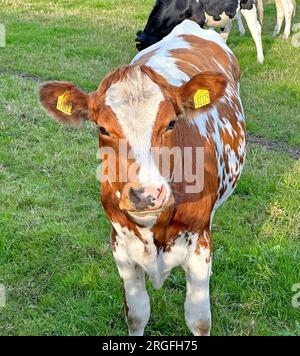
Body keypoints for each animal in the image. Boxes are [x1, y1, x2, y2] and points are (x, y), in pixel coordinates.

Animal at [39, 20, 246, 336]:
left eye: (171, 123)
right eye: (102, 128)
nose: (146, 195)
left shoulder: (200, 246)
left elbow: (199, 319)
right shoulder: (121, 246)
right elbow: (137, 313)